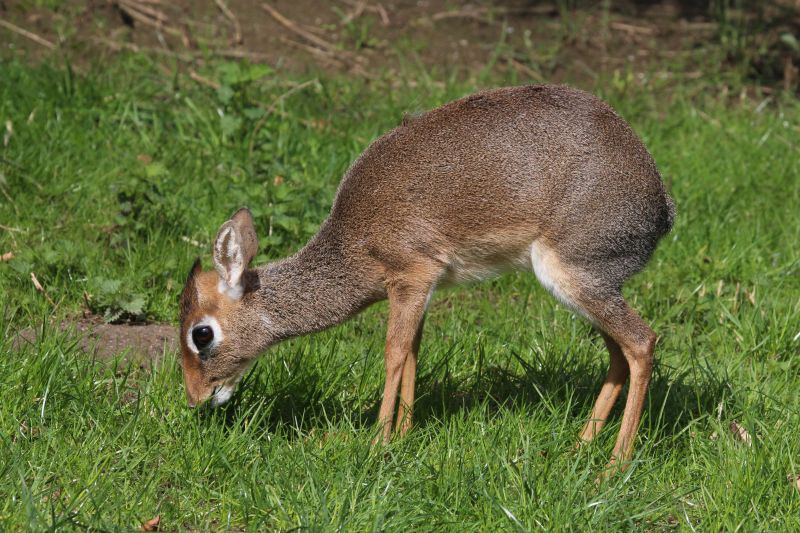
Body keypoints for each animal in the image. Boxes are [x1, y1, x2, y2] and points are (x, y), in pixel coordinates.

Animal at [180, 84, 676, 470]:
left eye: (201, 334)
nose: (196, 397)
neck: (354, 242)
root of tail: (661, 202)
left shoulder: (413, 274)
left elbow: (394, 351)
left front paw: (377, 441)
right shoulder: (423, 288)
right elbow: (414, 351)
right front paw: (402, 436)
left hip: (574, 276)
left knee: (641, 342)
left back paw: (615, 464)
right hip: (590, 287)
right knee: (619, 353)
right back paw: (580, 447)